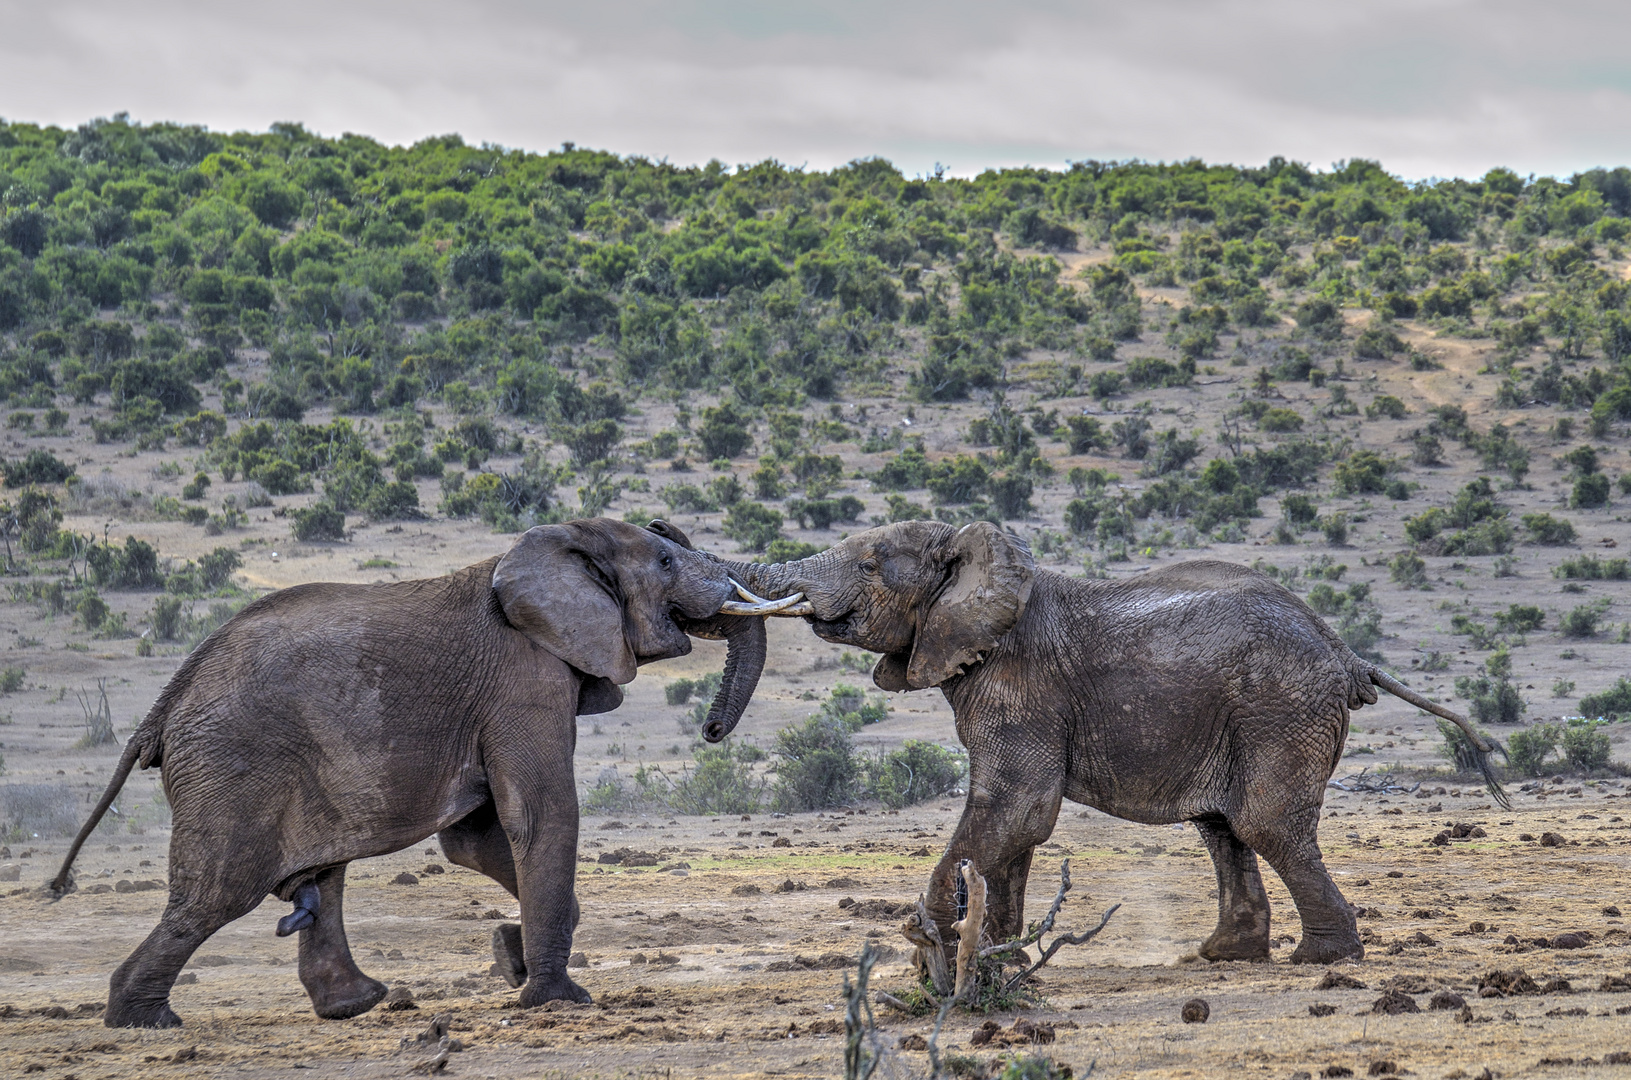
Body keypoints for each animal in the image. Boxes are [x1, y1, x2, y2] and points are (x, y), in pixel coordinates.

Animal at [47, 522, 792, 1031]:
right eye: (665, 561)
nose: (711, 731)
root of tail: (169, 698)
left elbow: (476, 841)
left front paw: (511, 956)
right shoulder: (524, 675)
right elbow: (540, 815)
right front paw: (556, 998)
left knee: (321, 877)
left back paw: (354, 1005)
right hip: (231, 764)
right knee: (217, 893)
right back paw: (143, 1020)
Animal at [707, 522, 1493, 965]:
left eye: (870, 563)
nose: (713, 731)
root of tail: (1346, 655)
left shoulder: (1019, 684)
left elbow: (1018, 808)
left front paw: (930, 940)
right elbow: (1014, 827)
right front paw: (995, 953)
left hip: (1280, 708)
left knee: (1265, 823)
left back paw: (1319, 960)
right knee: (1224, 828)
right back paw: (1221, 957)